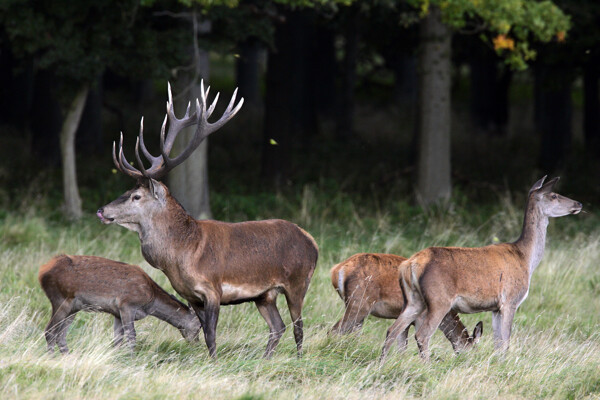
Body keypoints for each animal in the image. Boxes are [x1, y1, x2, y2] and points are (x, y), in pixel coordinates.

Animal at [38, 256, 200, 354]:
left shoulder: (116, 313)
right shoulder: (127, 305)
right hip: (61, 299)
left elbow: (117, 340)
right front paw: (132, 360)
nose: (197, 343)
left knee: (61, 335)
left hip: (73, 308)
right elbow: (131, 336)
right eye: (199, 326)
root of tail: (42, 272)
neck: (150, 300)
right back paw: (52, 358)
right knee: (50, 331)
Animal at [96, 83, 318, 358]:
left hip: (298, 282)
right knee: (278, 326)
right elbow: (203, 332)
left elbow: (211, 334)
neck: (180, 255)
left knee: (298, 326)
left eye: (136, 196)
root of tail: (312, 241)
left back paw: (298, 358)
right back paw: (266, 358)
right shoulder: (191, 295)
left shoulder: (213, 288)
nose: (102, 210)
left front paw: (213, 360)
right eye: (127, 191)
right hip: (265, 294)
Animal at [330, 253, 480, 354]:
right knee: (333, 331)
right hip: (359, 303)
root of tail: (337, 270)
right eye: (473, 350)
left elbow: (401, 347)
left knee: (352, 336)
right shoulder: (420, 317)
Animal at [380, 177, 580, 360]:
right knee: (422, 334)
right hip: (439, 299)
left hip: (413, 300)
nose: (578, 203)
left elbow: (498, 343)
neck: (525, 259)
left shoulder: (495, 307)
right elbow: (506, 342)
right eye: (553, 195)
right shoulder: (511, 300)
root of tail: (410, 264)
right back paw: (427, 366)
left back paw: (383, 364)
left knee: (392, 330)